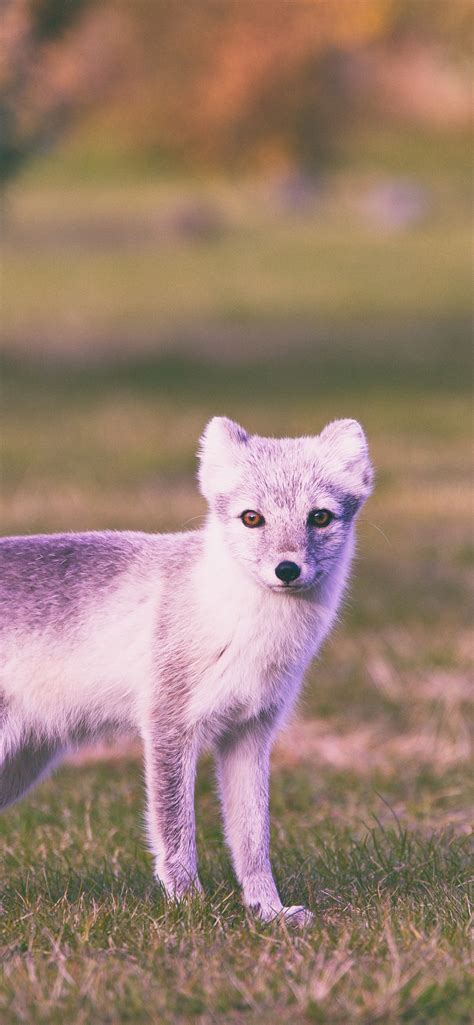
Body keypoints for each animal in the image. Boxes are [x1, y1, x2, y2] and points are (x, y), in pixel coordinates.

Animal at [0, 416, 373, 925]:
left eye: (319, 518)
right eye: (252, 518)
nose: (287, 569)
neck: (242, 626)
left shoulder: (250, 733)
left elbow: (253, 842)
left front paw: (269, 912)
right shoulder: (168, 726)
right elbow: (176, 835)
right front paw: (191, 910)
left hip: (21, 764)